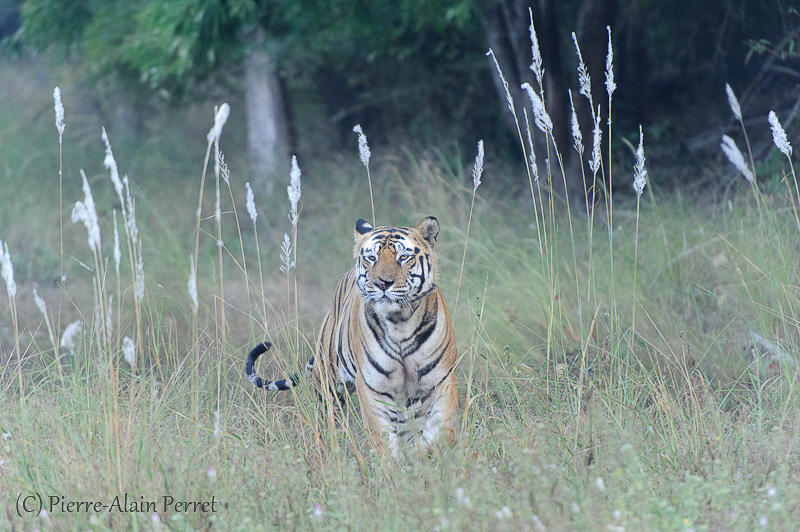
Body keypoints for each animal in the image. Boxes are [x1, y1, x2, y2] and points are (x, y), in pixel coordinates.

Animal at [242, 216, 456, 458]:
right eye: (372, 258)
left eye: (403, 257)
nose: (383, 283)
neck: (399, 323)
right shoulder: (374, 389)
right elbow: (384, 441)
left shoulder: (442, 382)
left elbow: (439, 433)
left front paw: (421, 455)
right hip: (328, 384)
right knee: (330, 420)